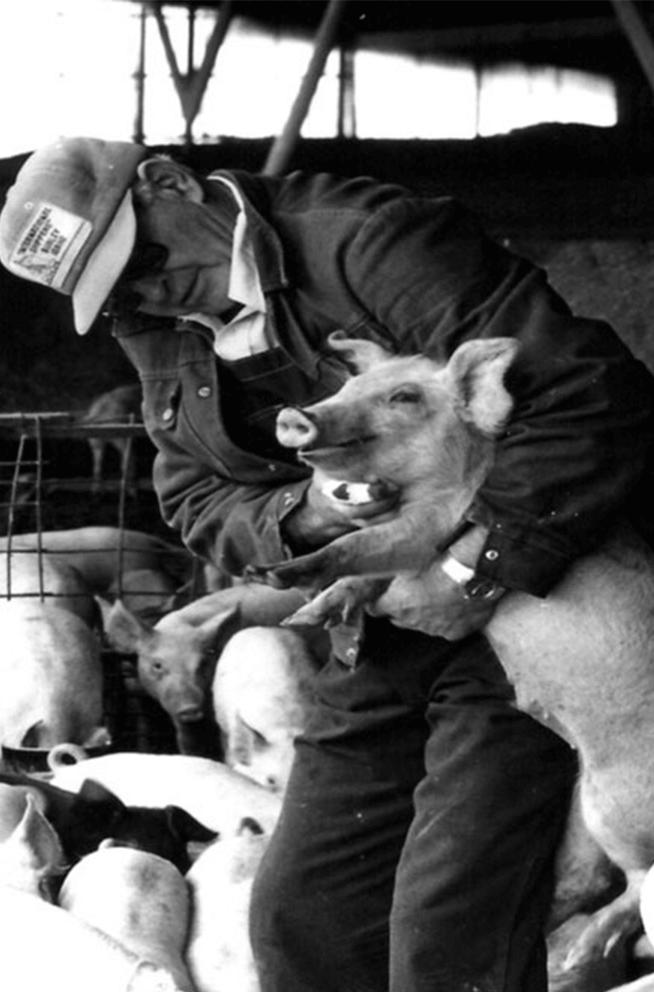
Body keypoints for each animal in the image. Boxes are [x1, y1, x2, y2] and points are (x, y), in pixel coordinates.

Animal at [263, 332, 654, 945]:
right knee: (587, 879)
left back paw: (575, 950)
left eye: (404, 396)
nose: (295, 415)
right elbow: (367, 577)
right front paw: (303, 614)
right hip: (583, 802)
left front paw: (276, 573)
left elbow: (364, 545)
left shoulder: (435, 523)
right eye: (351, 384)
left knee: (637, 888)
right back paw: (558, 942)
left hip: (619, 804)